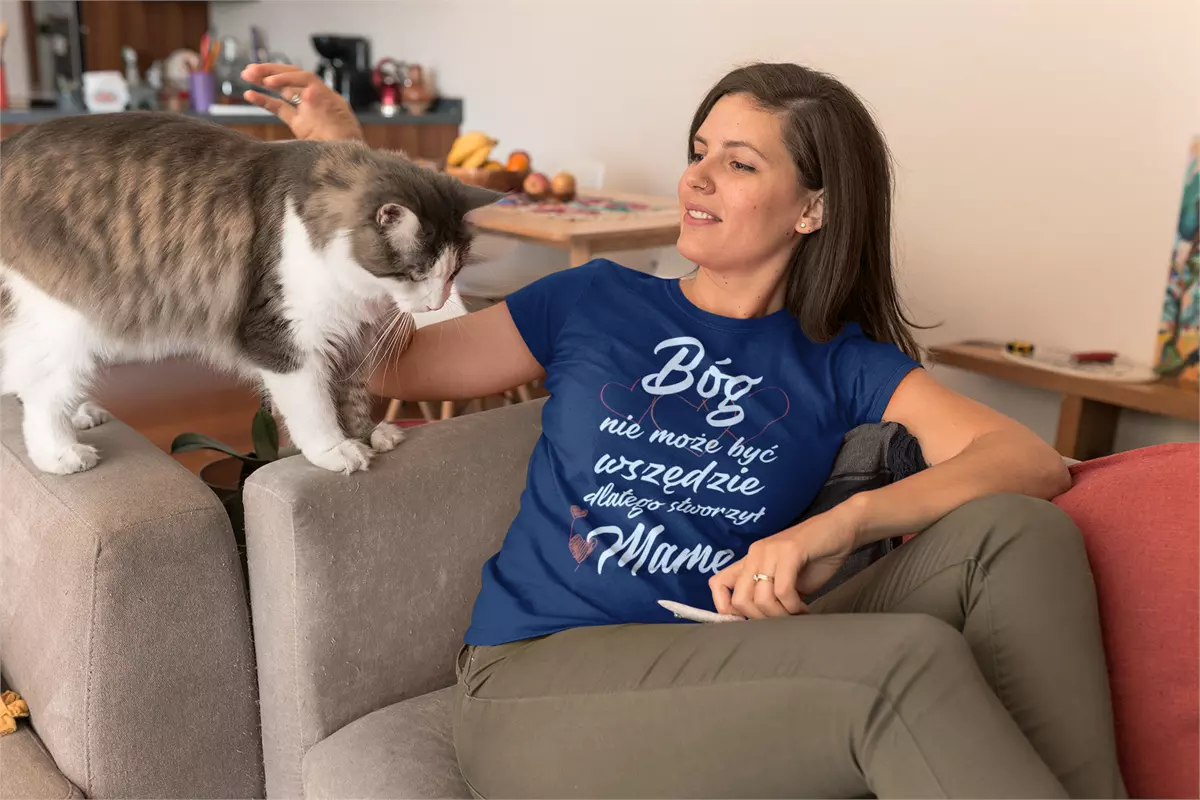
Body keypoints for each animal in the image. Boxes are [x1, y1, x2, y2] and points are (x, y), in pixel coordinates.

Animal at [0, 111, 500, 475]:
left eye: (453, 273)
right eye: (415, 273)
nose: (436, 303)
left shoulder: (353, 341)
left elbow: (354, 397)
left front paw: (370, 433)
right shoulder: (285, 339)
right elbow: (314, 409)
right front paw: (336, 450)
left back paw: (83, 414)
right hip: (68, 322)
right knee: (41, 393)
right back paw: (62, 455)